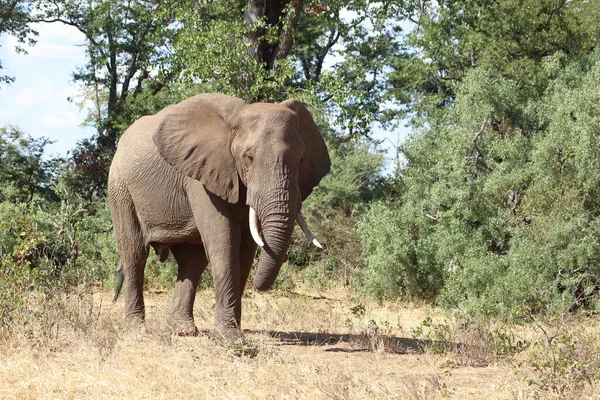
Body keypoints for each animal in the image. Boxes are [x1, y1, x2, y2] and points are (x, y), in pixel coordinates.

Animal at [109, 93, 330, 338]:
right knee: (135, 253)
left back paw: (183, 330)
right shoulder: (202, 175)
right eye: (248, 157)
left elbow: (246, 248)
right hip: (120, 188)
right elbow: (224, 242)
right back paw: (136, 330)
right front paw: (230, 338)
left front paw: (232, 332)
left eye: (300, 159)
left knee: (192, 261)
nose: (259, 285)